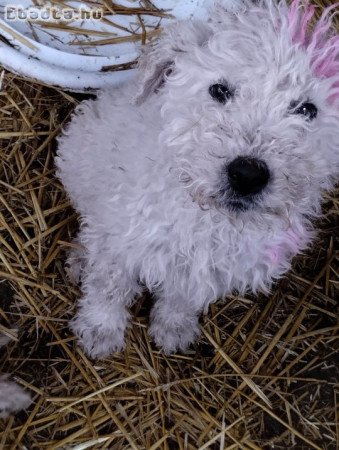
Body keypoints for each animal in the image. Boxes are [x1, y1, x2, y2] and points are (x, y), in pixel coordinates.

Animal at [56, 0, 339, 358]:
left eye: (307, 109)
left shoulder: (207, 269)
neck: (209, 218)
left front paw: (173, 330)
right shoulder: (119, 241)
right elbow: (108, 287)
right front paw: (100, 331)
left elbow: (182, 297)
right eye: (219, 90)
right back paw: (79, 259)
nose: (248, 175)